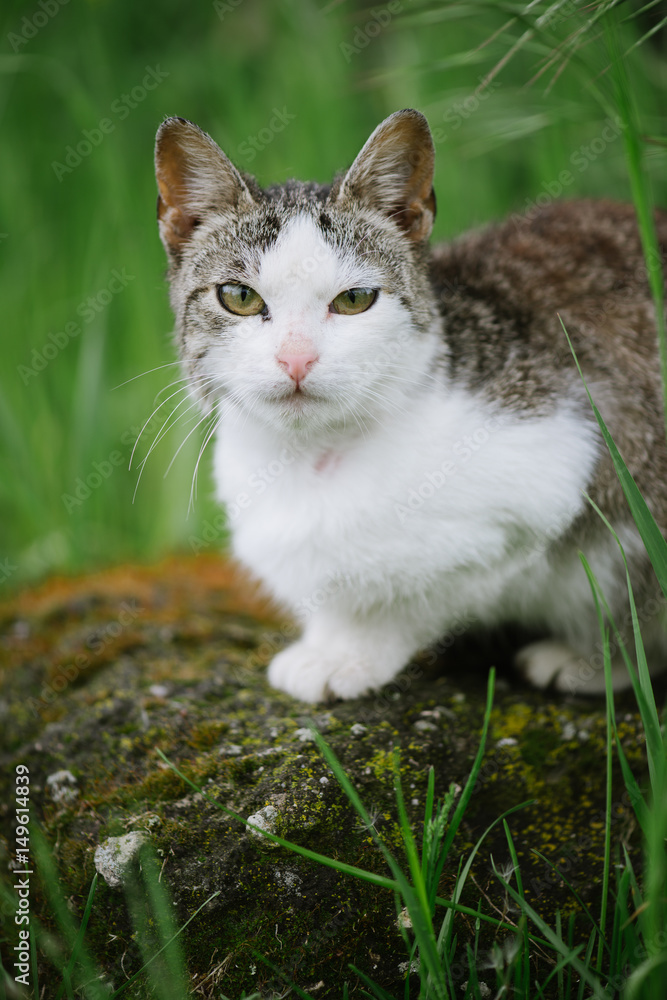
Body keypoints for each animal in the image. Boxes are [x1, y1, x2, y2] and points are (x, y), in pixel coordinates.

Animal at [154, 109, 667, 704]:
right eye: (238, 297)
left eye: (355, 300)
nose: (296, 358)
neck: (312, 456)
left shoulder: (555, 466)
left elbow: (407, 594)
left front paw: (348, 651)